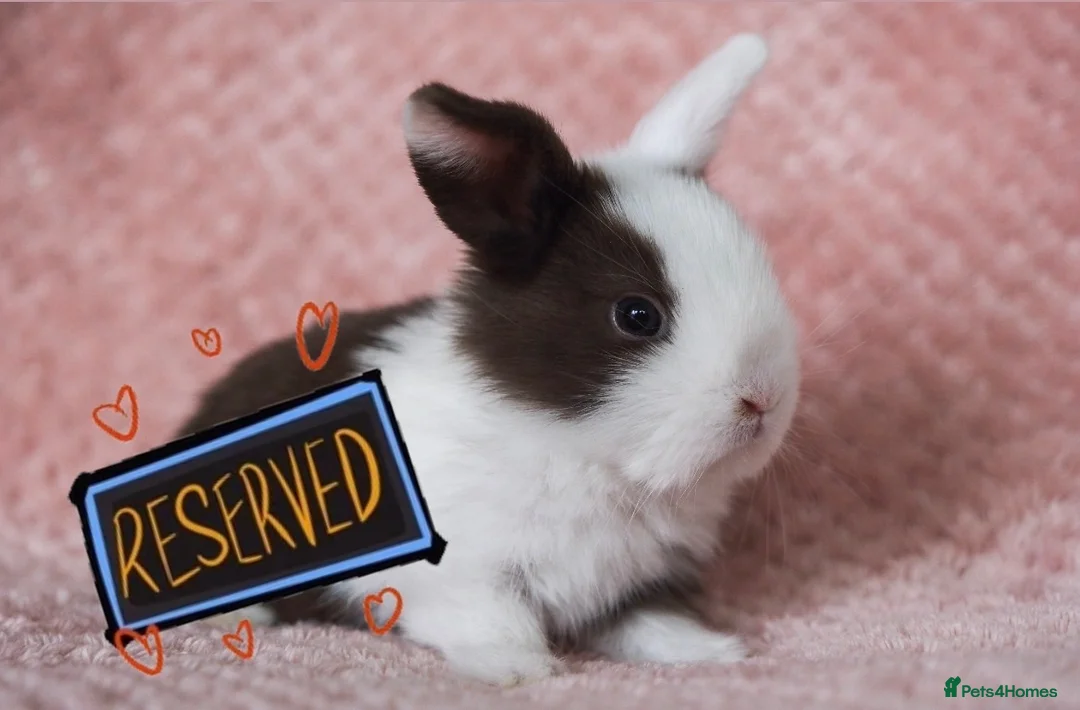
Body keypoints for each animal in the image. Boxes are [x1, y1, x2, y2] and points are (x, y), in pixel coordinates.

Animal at [187, 32, 800, 685]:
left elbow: (647, 619)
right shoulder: (452, 576)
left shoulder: (635, 580)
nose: (763, 399)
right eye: (638, 315)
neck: (578, 452)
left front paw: (711, 651)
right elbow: (493, 618)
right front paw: (521, 669)